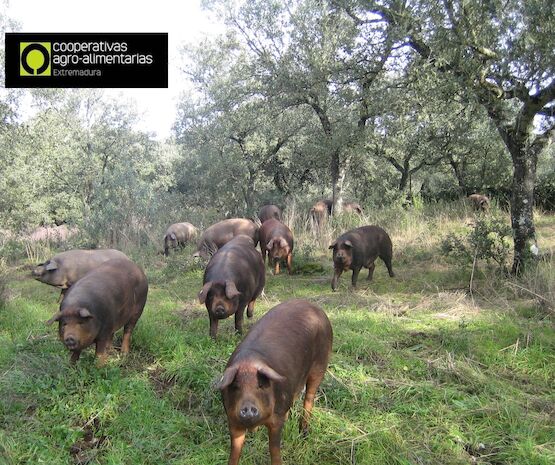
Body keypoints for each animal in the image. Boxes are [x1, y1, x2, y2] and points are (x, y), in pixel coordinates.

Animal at [217, 298, 332, 464]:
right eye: (236, 386)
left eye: (260, 385)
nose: (248, 407)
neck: (248, 362)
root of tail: (317, 309)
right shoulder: (232, 420)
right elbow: (235, 450)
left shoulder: (276, 419)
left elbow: (274, 447)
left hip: (321, 364)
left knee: (309, 397)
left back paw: (303, 433)